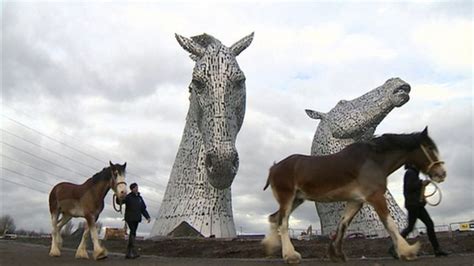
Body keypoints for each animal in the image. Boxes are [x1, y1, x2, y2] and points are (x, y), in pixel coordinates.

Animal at [262, 128, 444, 262]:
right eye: (429, 148)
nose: (441, 173)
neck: (373, 159)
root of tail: (274, 167)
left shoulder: (356, 201)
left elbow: (343, 224)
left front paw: (337, 254)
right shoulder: (375, 197)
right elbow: (390, 224)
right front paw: (407, 251)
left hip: (297, 199)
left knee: (274, 218)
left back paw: (270, 247)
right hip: (287, 198)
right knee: (283, 222)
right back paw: (290, 255)